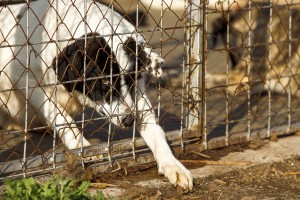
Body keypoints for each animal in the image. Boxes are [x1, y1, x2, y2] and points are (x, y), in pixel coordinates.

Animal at [0, 0, 192, 191]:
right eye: (105, 81)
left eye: (131, 78)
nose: (129, 120)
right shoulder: (24, 78)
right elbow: (61, 118)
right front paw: (81, 148)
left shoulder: (138, 96)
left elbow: (156, 131)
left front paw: (173, 165)